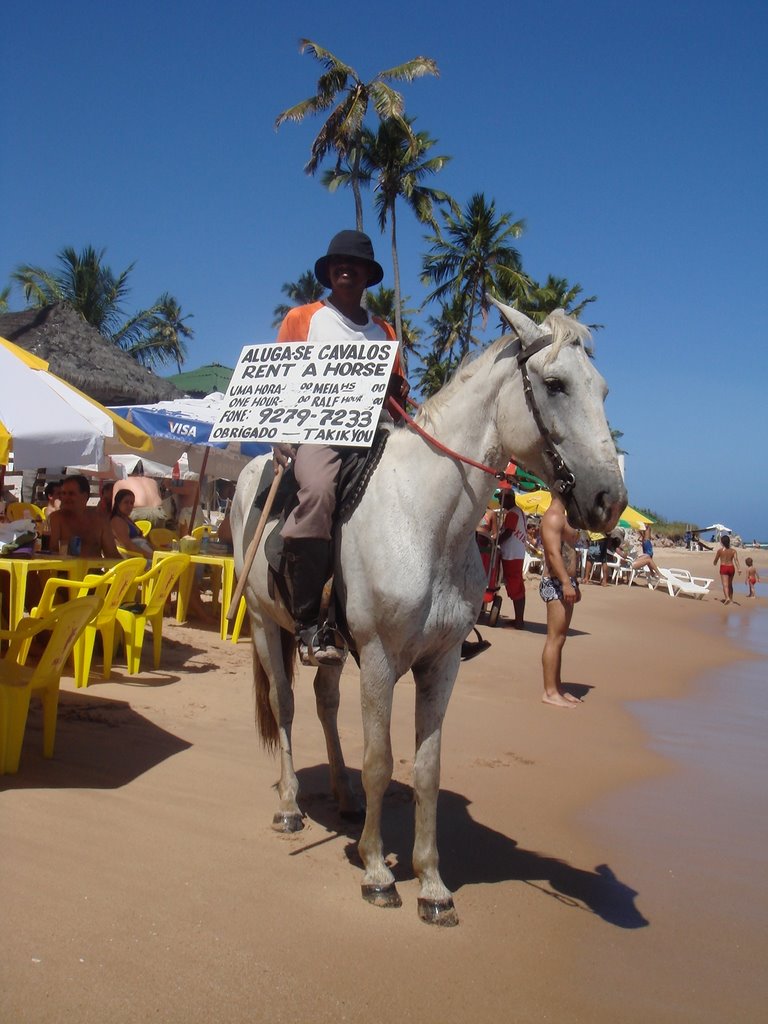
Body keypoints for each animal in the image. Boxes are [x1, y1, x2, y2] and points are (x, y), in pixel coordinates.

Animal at [231, 299, 626, 929]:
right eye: (556, 384)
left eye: (603, 389)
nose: (609, 501)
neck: (426, 519)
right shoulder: (378, 660)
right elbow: (378, 760)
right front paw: (376, 871)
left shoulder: (441, 664)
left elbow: (427, 769)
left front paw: (432, 884)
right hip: (266, 625)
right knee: (285, 706)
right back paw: (291, 806)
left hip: (331, 648)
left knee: (323, 702)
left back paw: (343, 799)